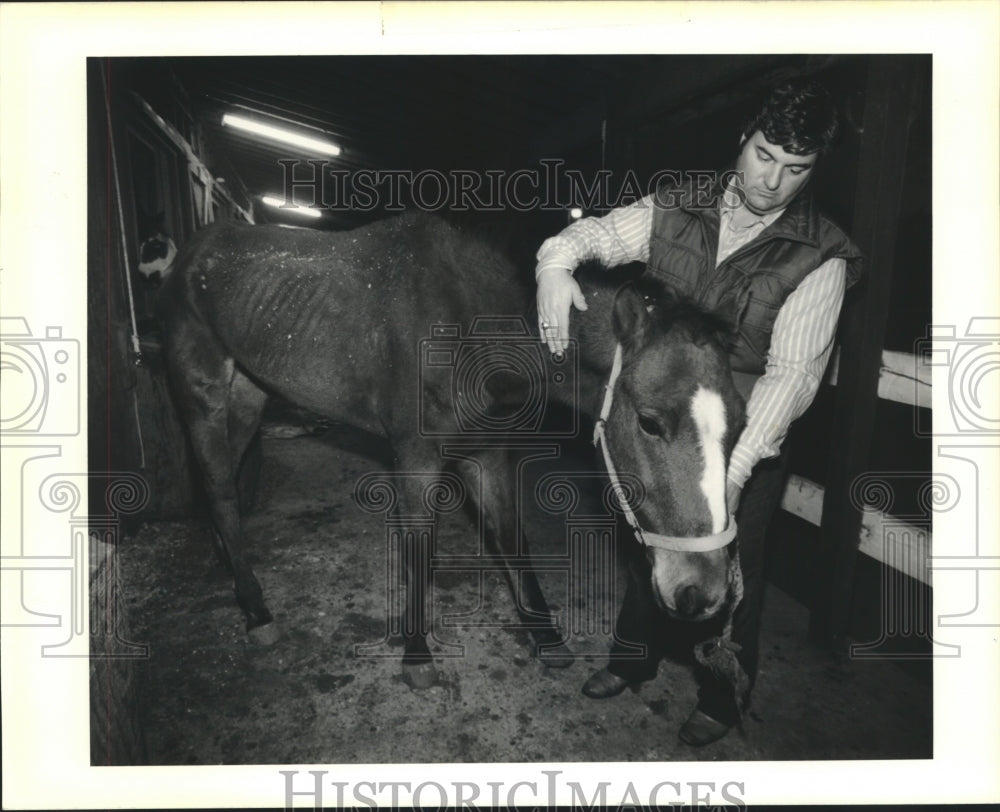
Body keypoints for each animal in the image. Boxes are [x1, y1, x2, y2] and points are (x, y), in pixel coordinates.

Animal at [160, 213, 748, 688]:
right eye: (650, 422)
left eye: (740, 425)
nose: (703, 593)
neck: (469, 320)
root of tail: (191, 252)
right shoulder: (416, 461)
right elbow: (421, 552)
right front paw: (418, 656)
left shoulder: (486, 453)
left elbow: (512, 540)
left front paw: (547, 639)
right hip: (202, 393)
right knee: (218, 487)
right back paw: (256, 609)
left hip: (248, 391)